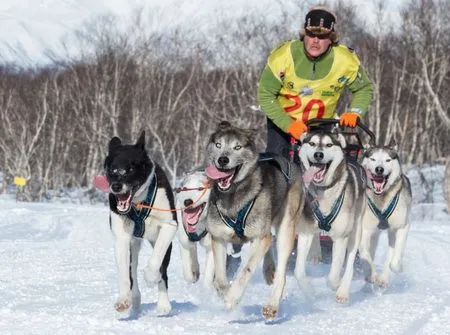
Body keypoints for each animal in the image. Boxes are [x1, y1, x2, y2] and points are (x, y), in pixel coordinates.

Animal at [104, 131, 177, 316]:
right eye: (111, 169)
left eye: (130, 168)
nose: (116, 186)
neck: (139, 203)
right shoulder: (122, 239)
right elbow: (125, 274)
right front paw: (123, 299)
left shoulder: (169, 226)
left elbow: (156, 260)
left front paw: (151, 277)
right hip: (133, 244)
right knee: (133, 272)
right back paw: (135, 300)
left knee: (163, 271)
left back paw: (163, 304)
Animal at [206, 121, 304, 320]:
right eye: (218, 144)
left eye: (237, 147)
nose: (222, 159)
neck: (233, 196)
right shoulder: (219, 238)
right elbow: (219, 280)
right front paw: (225, 292)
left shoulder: (259, 237)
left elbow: (246, 270)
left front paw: (232, 297)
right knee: (269, 243)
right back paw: (269, 269)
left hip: (286, 229)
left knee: (281, 271)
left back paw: (272, 305)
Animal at [298, 131, 368, 304]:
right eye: (312, 143)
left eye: (329, 145)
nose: (318, 155)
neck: (323, 190)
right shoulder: (305, 233)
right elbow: (298, 272)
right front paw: (309, 292)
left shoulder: (340, 238)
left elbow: (333, 275)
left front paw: (337, 286)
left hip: (355, 231)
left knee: (350, 261)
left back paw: (343, 291)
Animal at [358, 140, 412, 288]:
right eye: (373, 159)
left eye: (388, 160)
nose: (379, 169)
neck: (381, 199)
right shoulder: (365, 230)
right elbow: (366, 254)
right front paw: (371, 275)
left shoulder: (401, 227)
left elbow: (394, 256)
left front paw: (397, 268)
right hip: (374, 233)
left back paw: (384, 278)